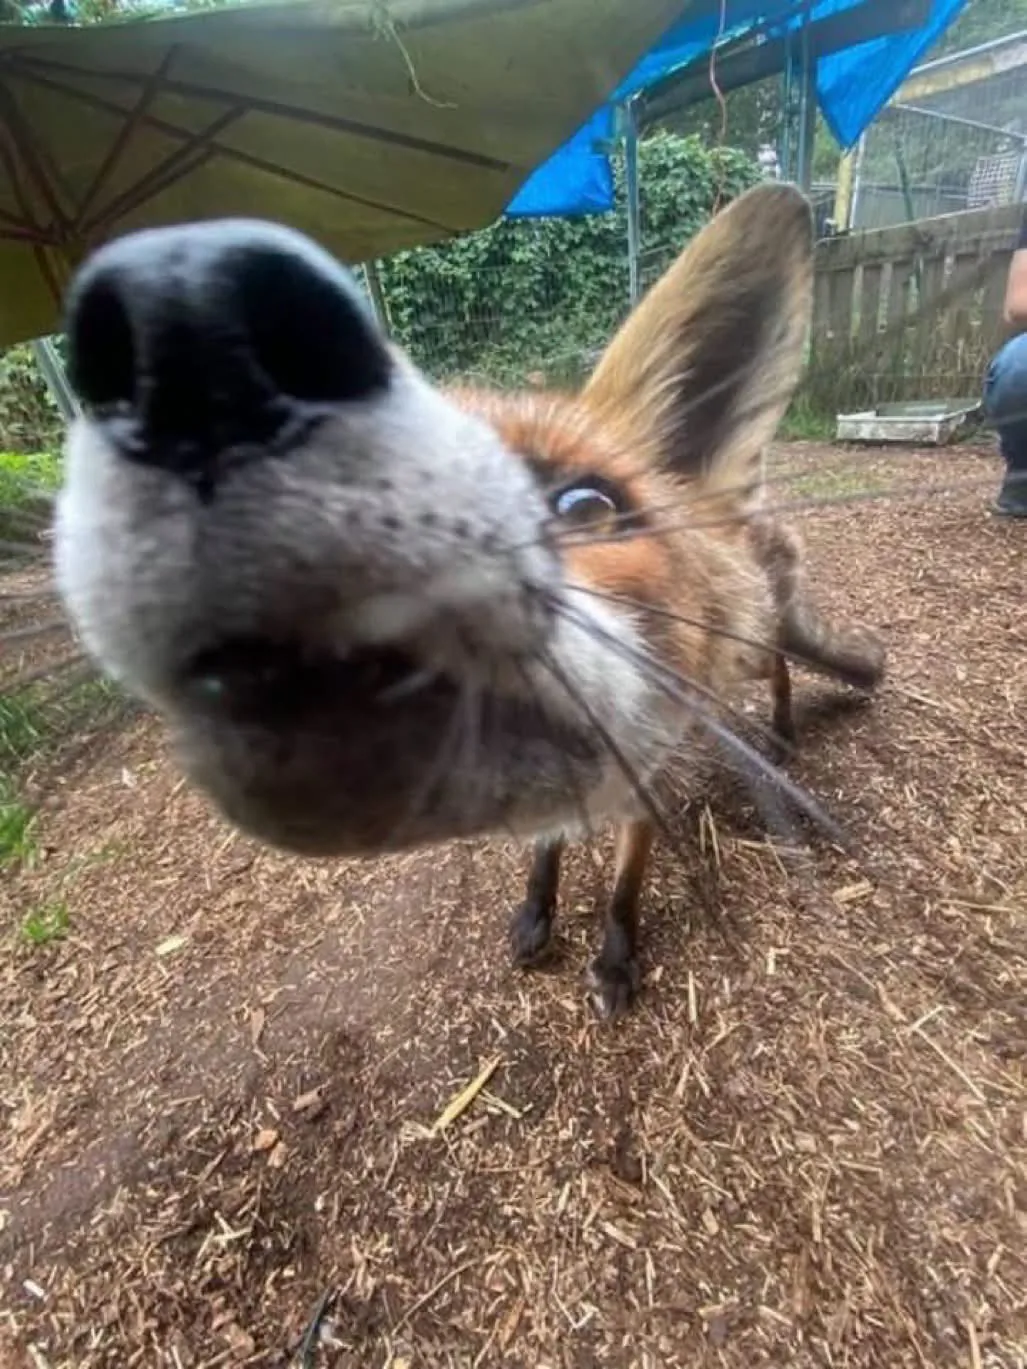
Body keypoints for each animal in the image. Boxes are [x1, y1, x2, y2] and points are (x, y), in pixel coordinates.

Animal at [53, 181, 885, 1018]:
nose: (193, 333)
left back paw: (780, 736)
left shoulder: (641, 789)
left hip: (741, 651)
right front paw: (537, 913)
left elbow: (623, 890)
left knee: (778, 662)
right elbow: (545, 857)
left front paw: (615, 961)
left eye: (586, 507)